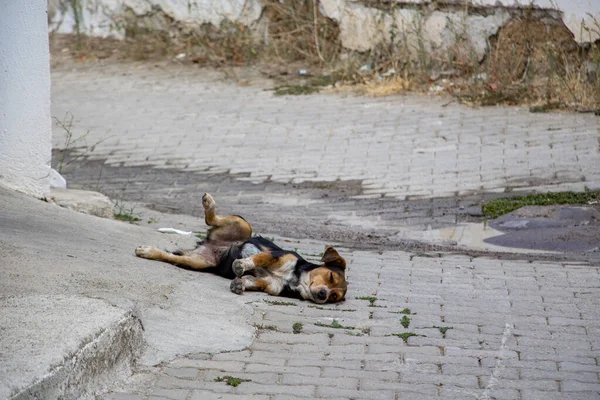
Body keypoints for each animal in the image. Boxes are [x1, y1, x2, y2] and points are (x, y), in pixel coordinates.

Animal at [135, 194, 346, 304]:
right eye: (331, 277)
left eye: (334, 296)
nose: (323, 295)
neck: (294, 279)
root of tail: (210, 243)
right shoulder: (275, 255)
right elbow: (255, 259)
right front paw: (241, 265)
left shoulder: (266, 284)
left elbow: (250, 280)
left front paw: (239, 284)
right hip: (244, 226)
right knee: (213, 219)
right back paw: (209, 203)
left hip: (196, 262)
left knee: (171, 257)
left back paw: (148, 251)